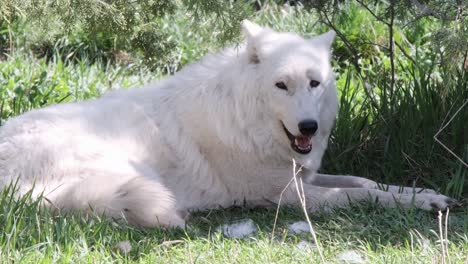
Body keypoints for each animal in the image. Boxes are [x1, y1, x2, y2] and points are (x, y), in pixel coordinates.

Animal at [0, 20, 458, 227]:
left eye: (314, 83)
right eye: (281, 85)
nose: (308, 127)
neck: (245, 123)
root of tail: (12, 192)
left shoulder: (303, 176)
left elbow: (367, 181)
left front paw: (427, 194)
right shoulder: (287, 196)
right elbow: (362, 195)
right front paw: (419, 203)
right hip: (131, 170)